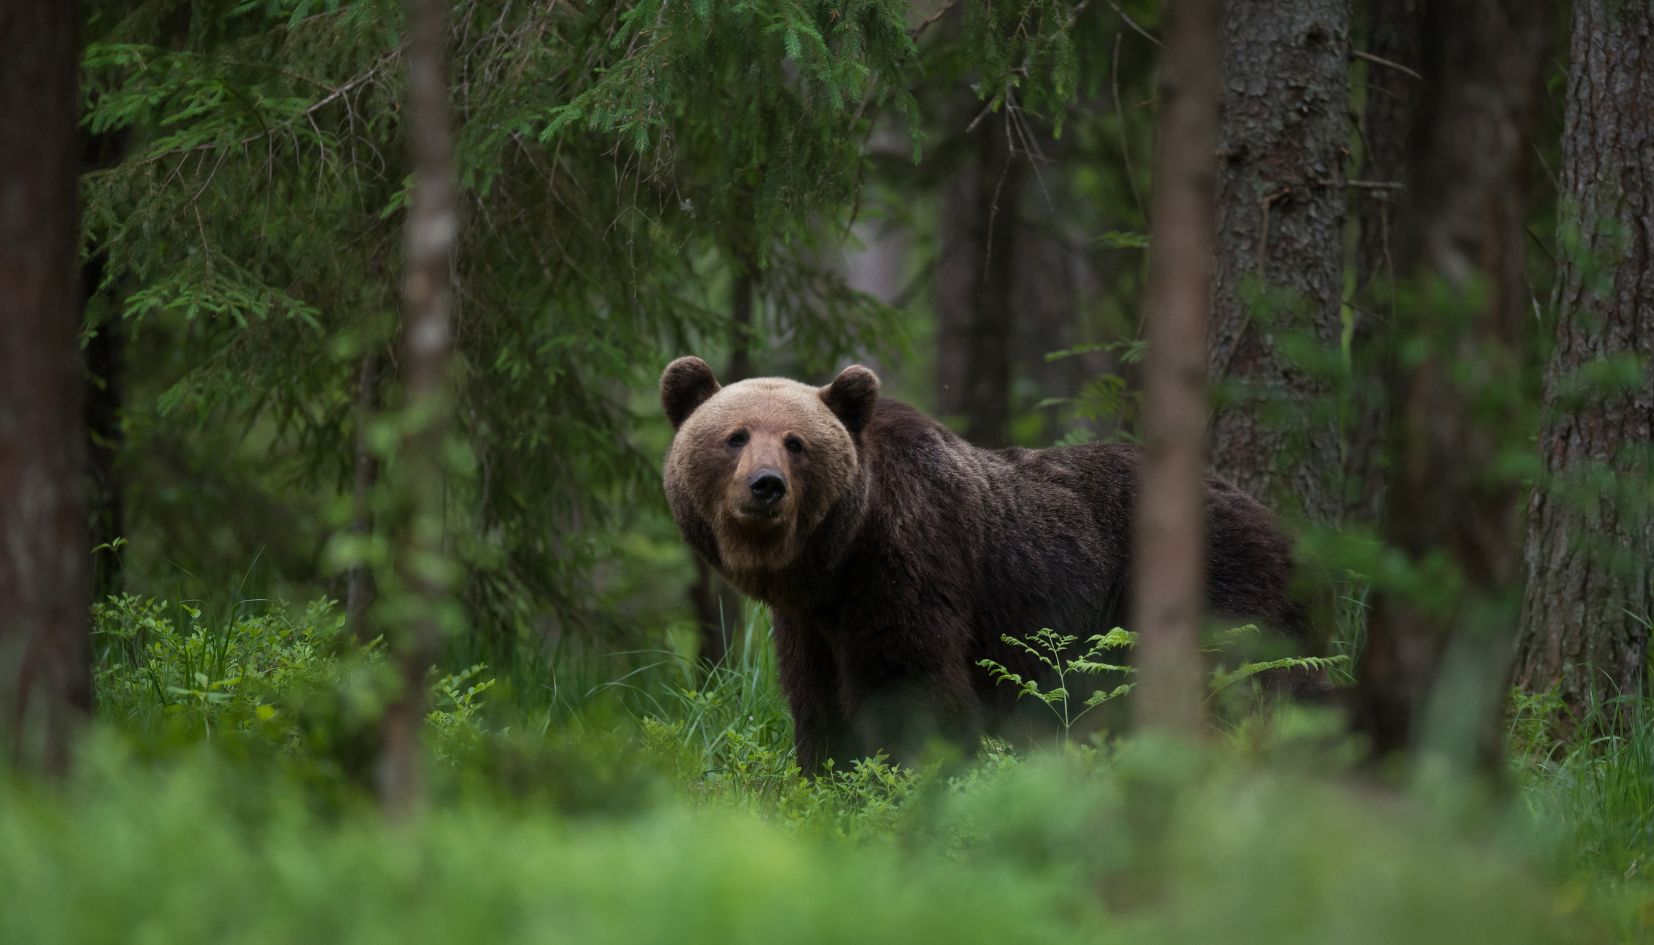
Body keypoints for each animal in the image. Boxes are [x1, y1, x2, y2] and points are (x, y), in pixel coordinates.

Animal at [660, 356, 1316, 772]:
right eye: (736, 436)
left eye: (796, 443)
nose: (766, 486)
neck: (837, 559)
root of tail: (1273, 518)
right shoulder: (812, 621)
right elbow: (816, 698)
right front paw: (827, 774)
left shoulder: (909, 560)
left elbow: (910, 680)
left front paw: (913, 773)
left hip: (1218, 579)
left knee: (1247, 681)